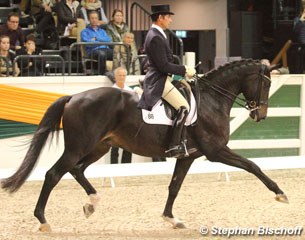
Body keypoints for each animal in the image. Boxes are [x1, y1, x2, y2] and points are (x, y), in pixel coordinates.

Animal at [1, 59, 288, 231]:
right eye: (265, 83)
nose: (261, 115)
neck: (211, 99)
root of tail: (73, 97)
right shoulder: (215, 151)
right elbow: (252, 165)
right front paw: (280, 193)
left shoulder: (188, 156)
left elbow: (174, 186)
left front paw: (171, 218)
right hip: (78, 147)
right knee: (53, 174)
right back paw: (43, 220)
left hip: (99, 146)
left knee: (77, 170)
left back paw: (92, 202)